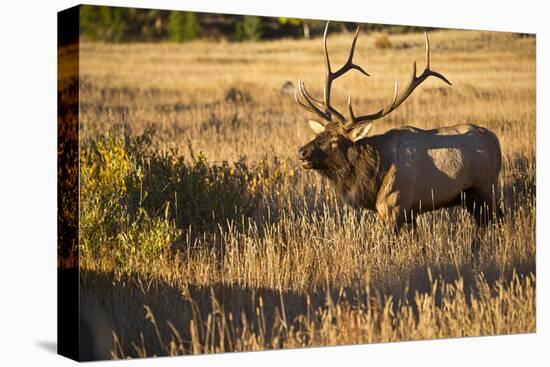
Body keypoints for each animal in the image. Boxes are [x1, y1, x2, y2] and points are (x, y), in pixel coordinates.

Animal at [298, 21, 504, 249]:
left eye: (334, 140)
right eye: (321, 133)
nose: (302, 152)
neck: (373, 176)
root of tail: (495, 139)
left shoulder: (395, 206)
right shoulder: (409, 212)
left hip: (487, 185)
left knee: (499, 218)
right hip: (468, 195)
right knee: (483, 222)